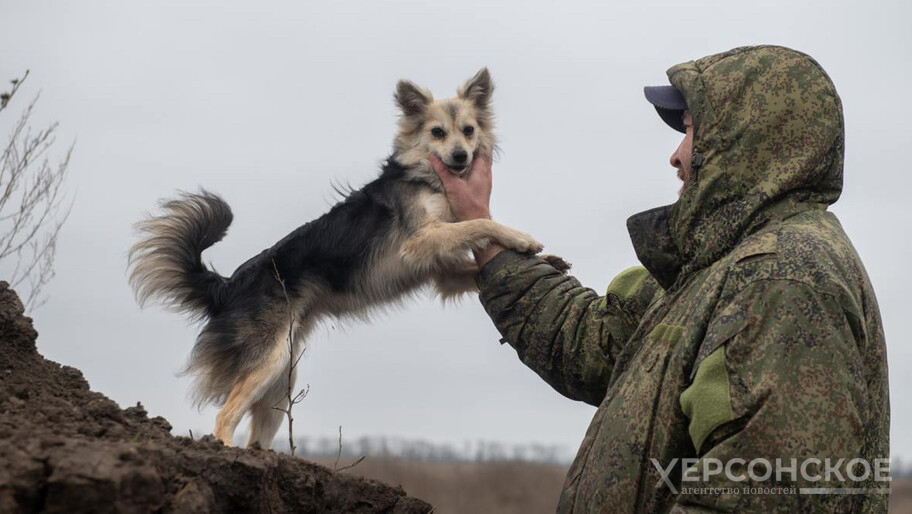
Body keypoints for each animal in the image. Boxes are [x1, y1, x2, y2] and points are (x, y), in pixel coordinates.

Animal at [128, 69, 564, 448]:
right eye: (437, 133)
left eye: (469, 130)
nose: (459, 157)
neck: (430, 178)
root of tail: (228, 286)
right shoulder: (420, 240)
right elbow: (478, 222)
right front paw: (521, 238)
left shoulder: (439, 269)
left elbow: (475, 264)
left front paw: (549, 262)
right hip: (267, 360)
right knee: (224, 417)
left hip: (281, 377)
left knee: (257, 432)